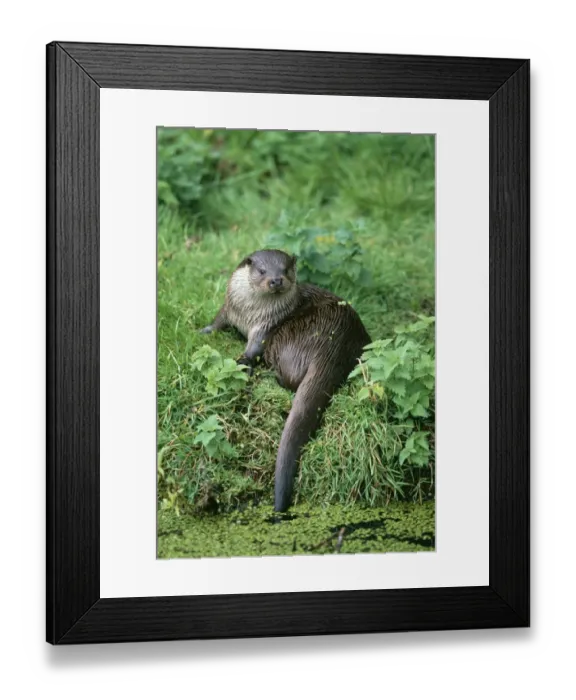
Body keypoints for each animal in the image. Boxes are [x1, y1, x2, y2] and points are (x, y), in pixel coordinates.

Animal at [199, 249, 371, 512]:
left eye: (286, 270)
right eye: (262, 271)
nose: (276, 280)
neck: (249, 314)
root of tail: (333, 344)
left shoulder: (265, 327)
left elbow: (253, 348)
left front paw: (242, 362)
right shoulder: (229, 307)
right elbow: (218, 321)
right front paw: (204, 331)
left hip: (284, 339)